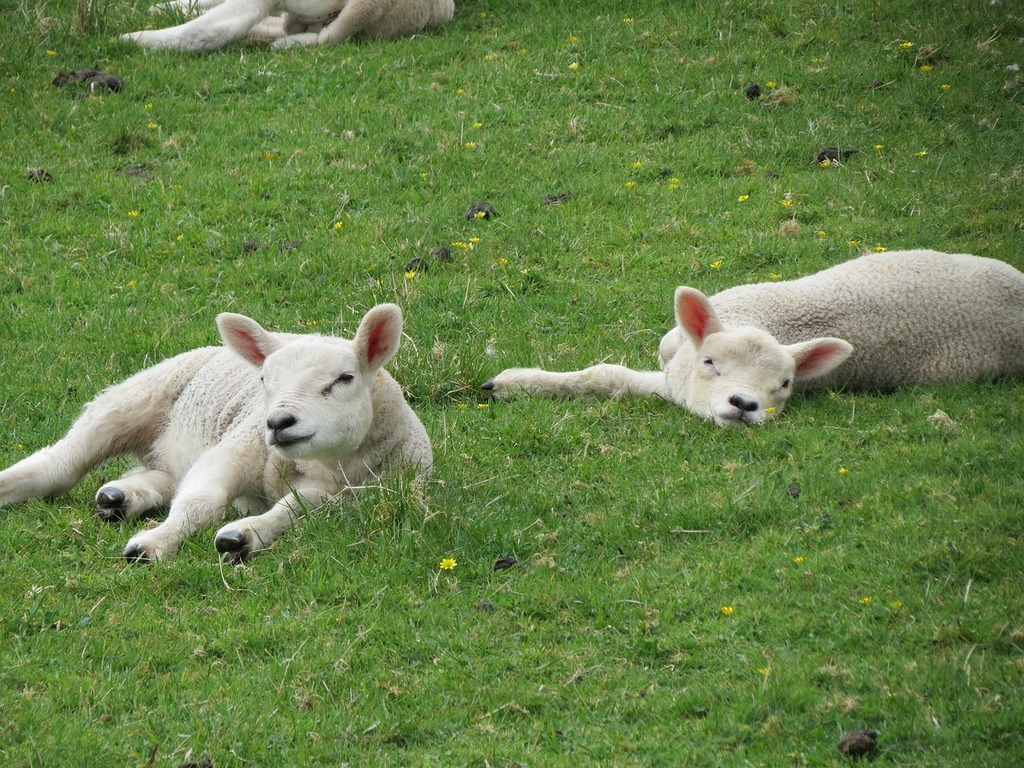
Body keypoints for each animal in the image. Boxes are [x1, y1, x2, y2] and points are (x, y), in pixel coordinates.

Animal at [0, 303, 430, 561]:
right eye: (264, 380)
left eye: (344, 378)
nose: (278, 422)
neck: (324, 465)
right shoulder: (237, 448)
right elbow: (199, 502)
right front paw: (153, 544)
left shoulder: (357, 495)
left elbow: (297, 508)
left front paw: (241, 537)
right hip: (133, 398)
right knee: (61, 464)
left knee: (165, 475)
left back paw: (120, 497)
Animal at [483, 250, 1024, 428]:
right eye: (711, 362)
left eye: (784, 385)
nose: (744, 405)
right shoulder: (674, 369)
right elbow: (605, 375)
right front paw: (512, 384)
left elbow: (610, 377)